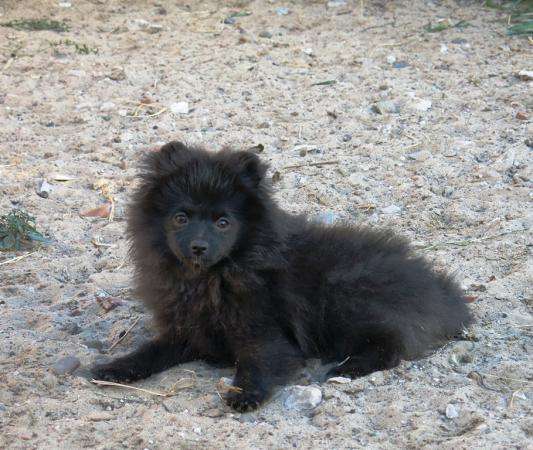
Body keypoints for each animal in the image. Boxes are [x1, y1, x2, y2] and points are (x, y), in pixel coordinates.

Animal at [91, 142, 470, 412]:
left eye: (223, 222)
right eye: (181, 218)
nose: (198, 246)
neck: (213, 277)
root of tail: (444, 295)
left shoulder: (263, 329)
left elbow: (258, 360)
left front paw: (245, 393)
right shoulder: (188, 330)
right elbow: (150, 351)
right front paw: (116, 367)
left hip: (344, 292)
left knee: (391, 345)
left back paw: (345, 368)